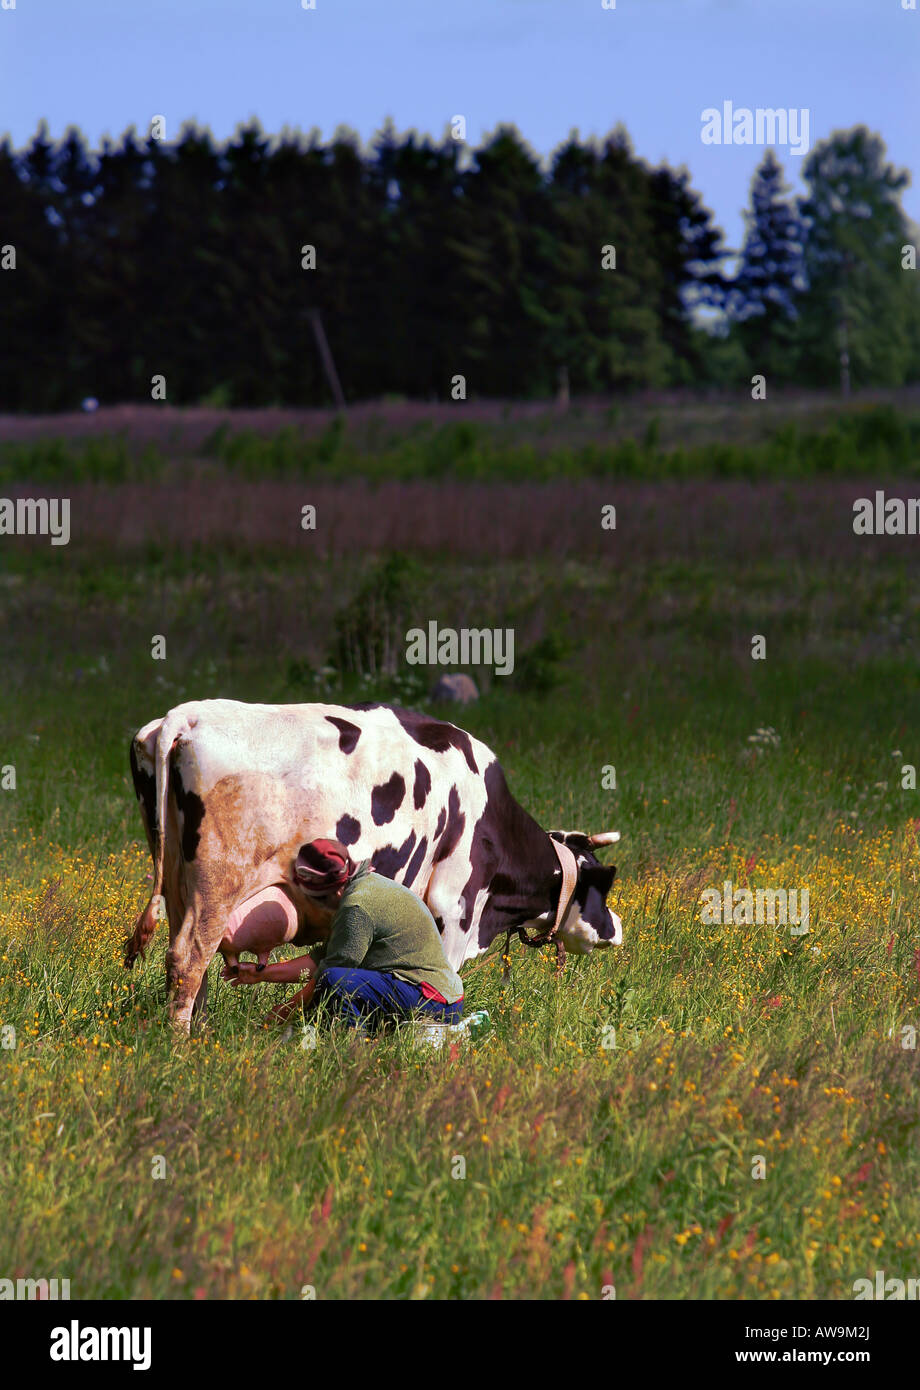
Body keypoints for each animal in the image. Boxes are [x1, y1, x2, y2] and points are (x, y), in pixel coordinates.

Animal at [124, 699, 622, 1032]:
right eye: (602, 887)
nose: (616, 928)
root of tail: (186, 715)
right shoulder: (454, 908)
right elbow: (446, 984)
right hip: (217, 885)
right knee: (188, 959)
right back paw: (181, 1046)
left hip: (177, 885)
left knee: (193, 964)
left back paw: (201, 1034)